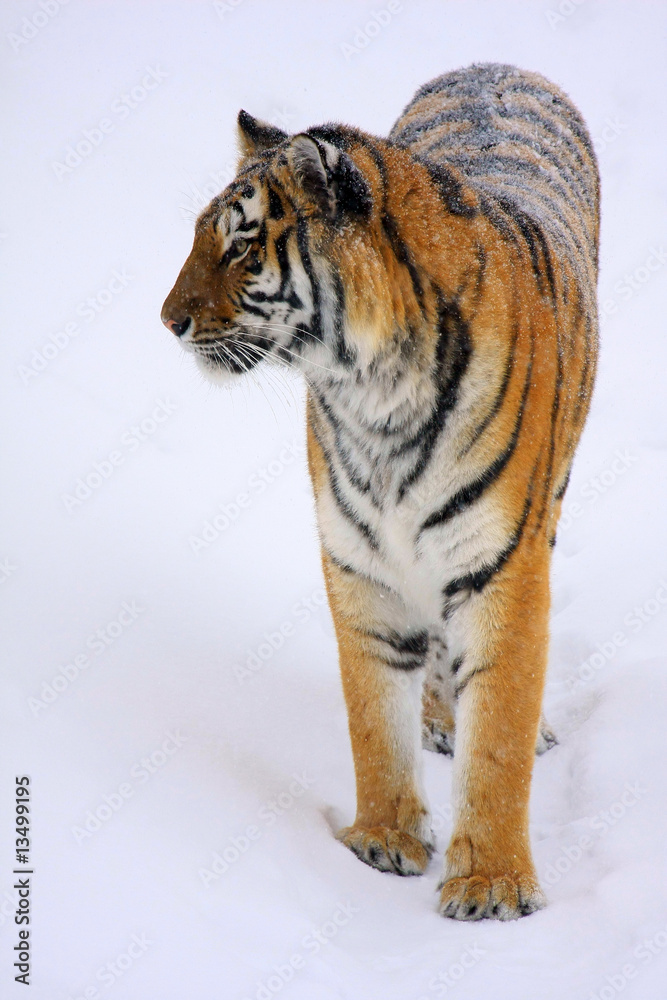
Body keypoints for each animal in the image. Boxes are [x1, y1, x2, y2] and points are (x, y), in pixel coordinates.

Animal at [161, 62, 599, 921]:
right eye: (200, 235)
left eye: (240, 245)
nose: (167, 321)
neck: (371, 389)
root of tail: (495, 66)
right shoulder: (357, 556)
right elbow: (373, 713)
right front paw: (382, 843)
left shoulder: (503, 562)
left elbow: (499, 733)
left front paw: (491, 885)